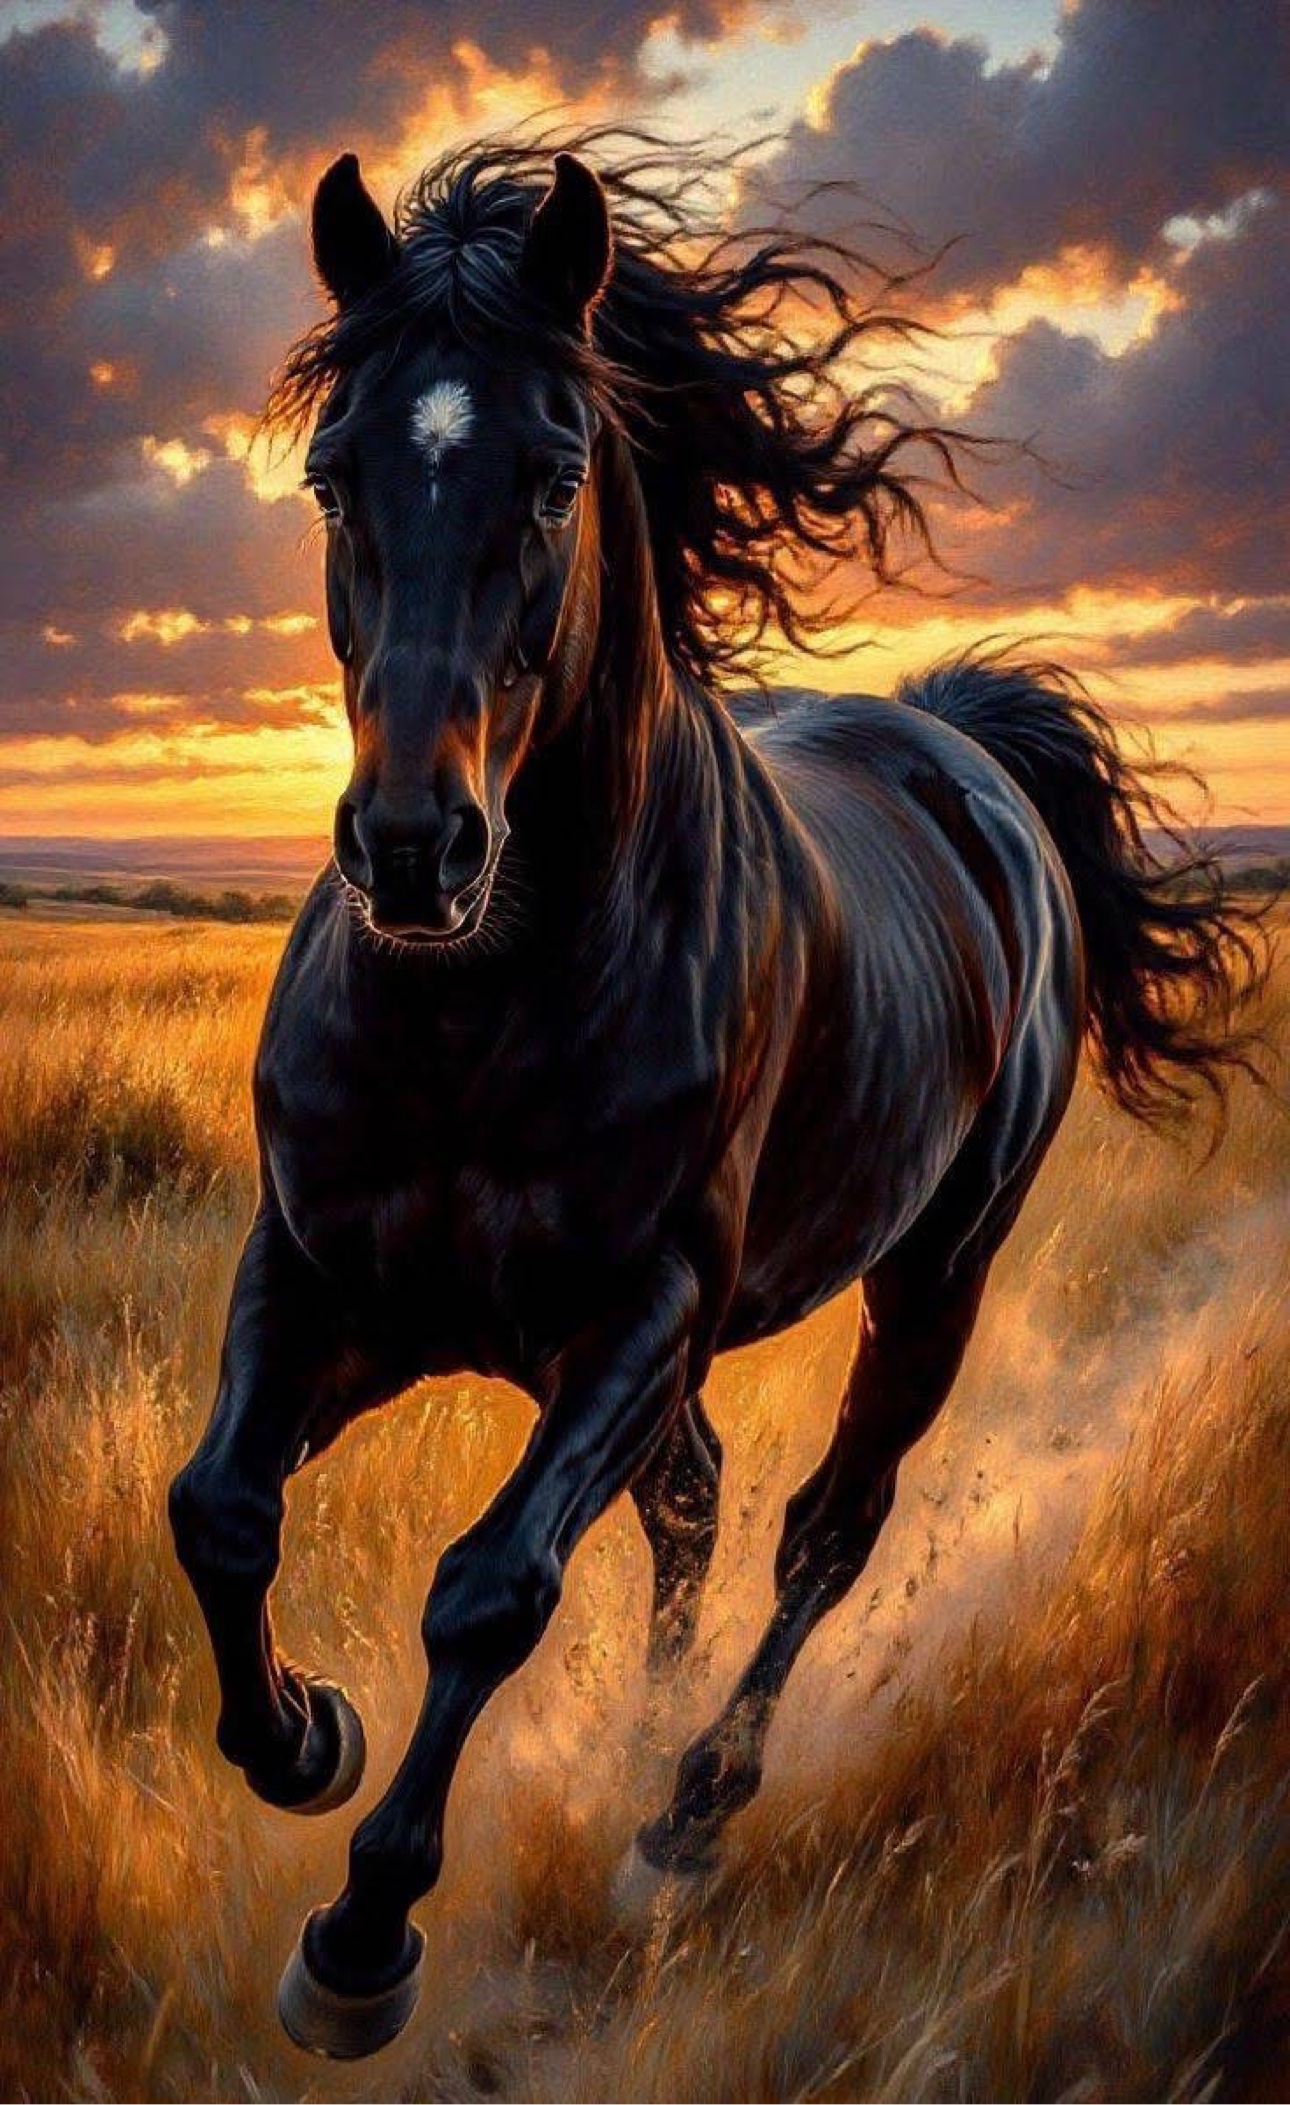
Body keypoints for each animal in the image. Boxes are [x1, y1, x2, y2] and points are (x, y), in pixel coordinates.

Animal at [168, 134, 1261, 2059]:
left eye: (554, 475)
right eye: (329, 471)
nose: (413, 851)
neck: (477, 1010)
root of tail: (966, 748)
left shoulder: (637, 1314)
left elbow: (492, 1590)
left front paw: (363, 1938)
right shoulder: (317, 1276)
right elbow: (221, 1509)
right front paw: (303, 1738)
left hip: (936, 1277)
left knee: (824, 1531)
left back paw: (678, 1814)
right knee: (693, 1509)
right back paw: (628, 1755)